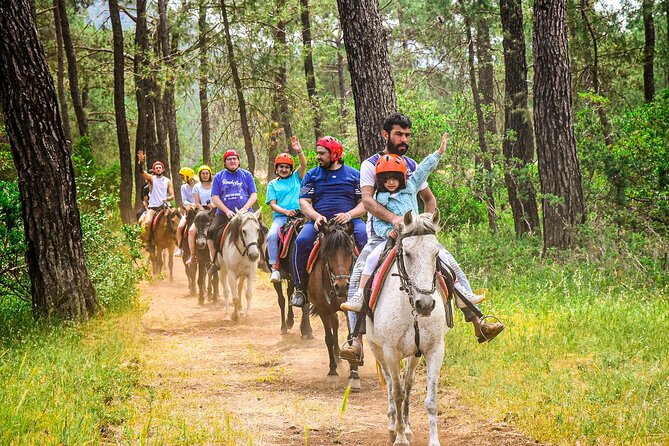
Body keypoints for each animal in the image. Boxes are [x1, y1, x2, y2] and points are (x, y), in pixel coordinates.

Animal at [306, 219, 360, 384]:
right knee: (334, 324)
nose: (341, 286)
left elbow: (351, 338)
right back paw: (337, 358)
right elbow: (328, 338)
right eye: (328, 253)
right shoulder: (323, 309)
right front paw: (332, 371)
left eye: (349, 252)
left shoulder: (349, 308)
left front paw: (354, 372)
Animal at [366, 210, 448, 446]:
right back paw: (394, 425)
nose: (425, 304)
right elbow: (397, 393)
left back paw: (407, 425)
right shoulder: (391, 352)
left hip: (414, 354)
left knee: (408, 383)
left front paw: (433, 440)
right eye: (408, 254)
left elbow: (431, 400)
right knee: (391, 385)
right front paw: (400, 437)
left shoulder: (434, 350)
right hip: (376, 349)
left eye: (435, 253)